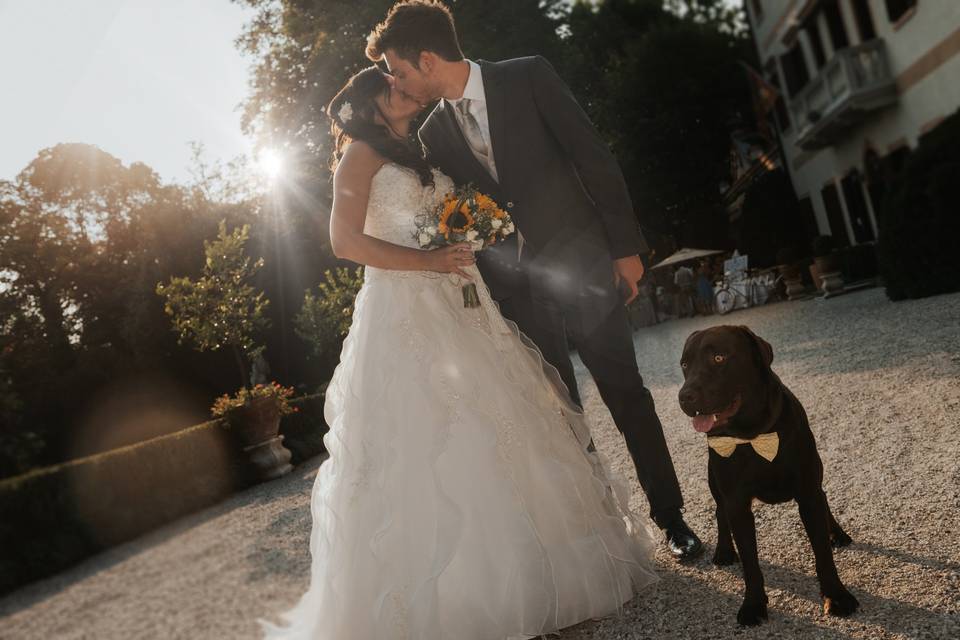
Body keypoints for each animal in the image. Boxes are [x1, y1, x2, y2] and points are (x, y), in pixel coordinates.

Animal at [680, 324, 860, 624]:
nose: (684, 396)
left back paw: (837, 532)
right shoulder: (737, 504)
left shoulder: (807, 493)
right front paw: (753, 604)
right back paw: (724, 550)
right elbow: (750, 563)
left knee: (824, 498)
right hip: (714, 481)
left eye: (719, 358)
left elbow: (822, 552)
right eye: (684, 365)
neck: (754, 436)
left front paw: (836, 596)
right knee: (719, 511)